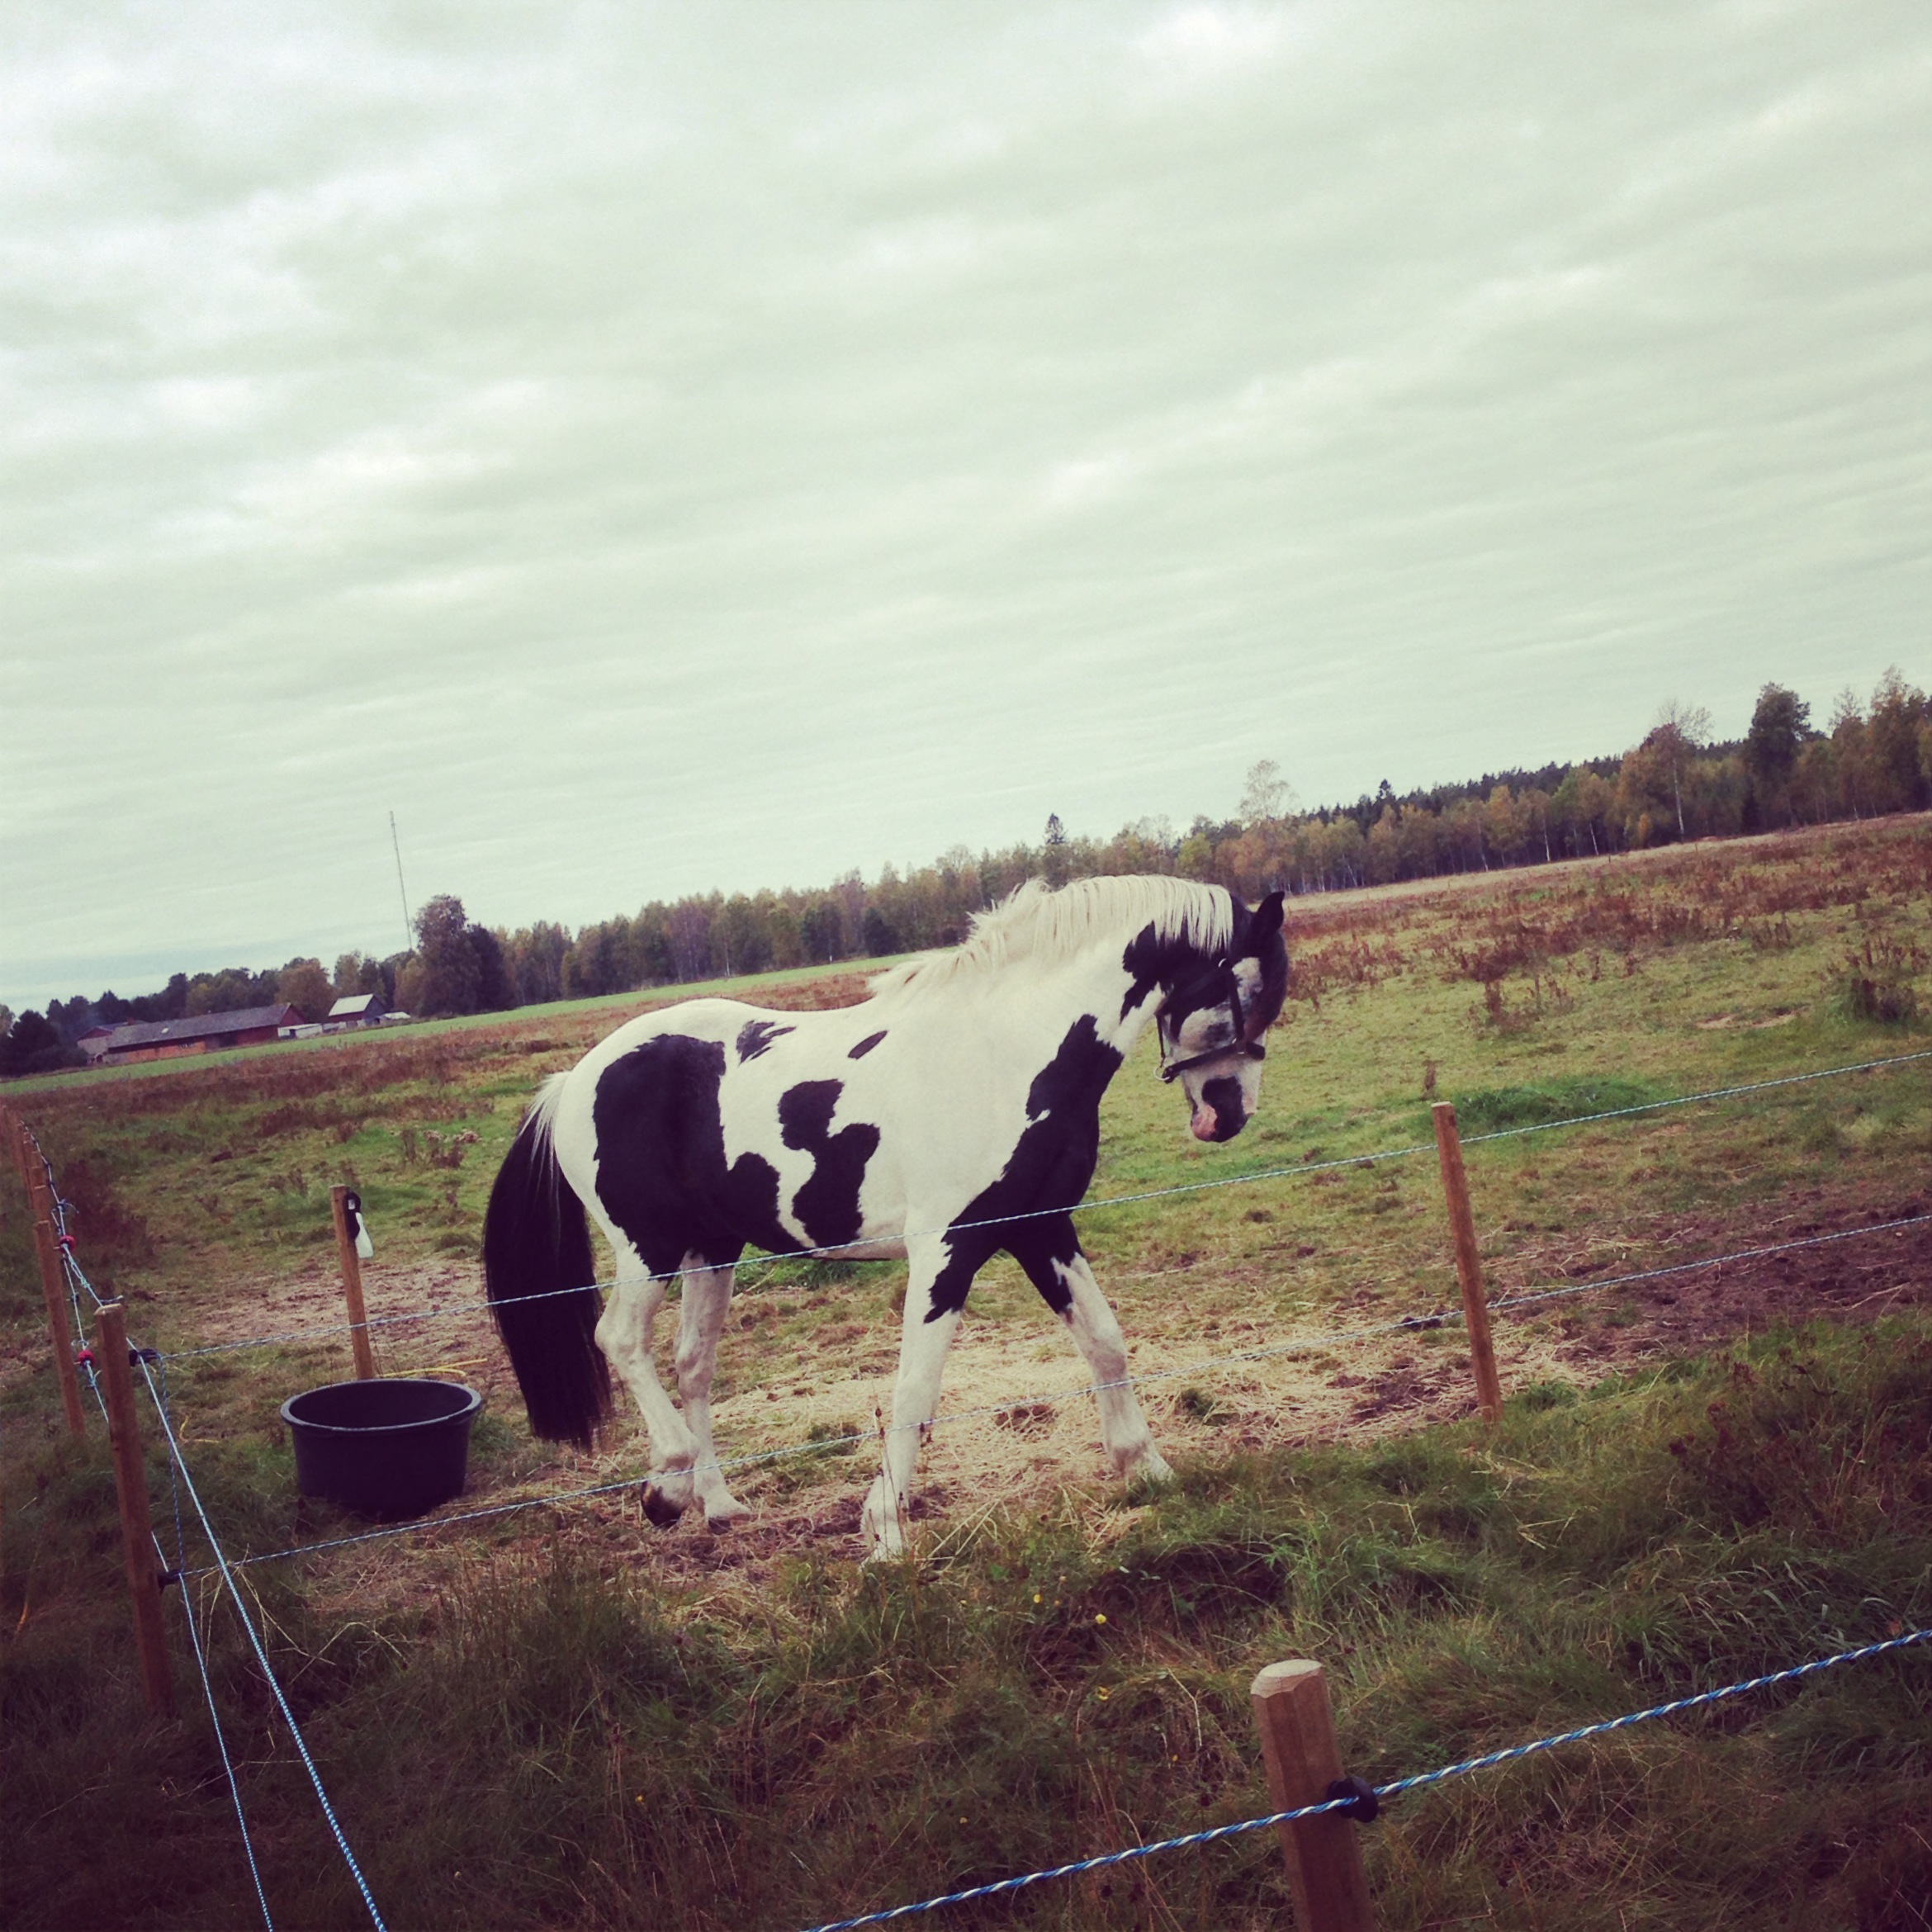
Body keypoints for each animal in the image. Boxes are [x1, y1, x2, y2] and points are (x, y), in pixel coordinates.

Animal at [483, 874, 1288, 1557]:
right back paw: (667, 1486)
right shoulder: (947, 1248)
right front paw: (887, 1531)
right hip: (646, 1247)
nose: (1228, 1114)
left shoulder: (1040, 1228)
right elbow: (916, 1386)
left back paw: (717, 1504)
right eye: (1241, 993)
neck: (1004, 1054)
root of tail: (573, 1079)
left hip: (712, 1247)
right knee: (619, 1341)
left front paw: (1146, 1469)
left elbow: (1105, 1342)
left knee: (693, 1363)